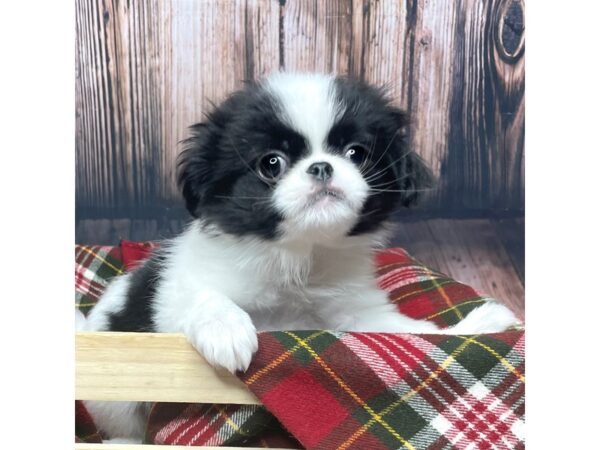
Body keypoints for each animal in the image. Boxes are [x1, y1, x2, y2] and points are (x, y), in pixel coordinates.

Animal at [79, 72, 520, 442]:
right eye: (271, 163)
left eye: (356, 153)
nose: (322, 167)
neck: (300, 258)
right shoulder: (176, 293)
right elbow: (204, 297)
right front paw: (227, 330)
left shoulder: (359, 317)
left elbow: (413, 335)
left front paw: (479, 325)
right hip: (117, 401)